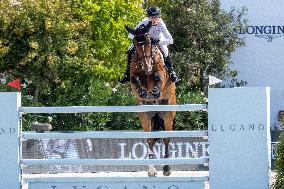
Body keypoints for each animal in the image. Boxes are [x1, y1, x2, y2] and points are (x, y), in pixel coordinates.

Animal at [125, 22, 176, 177]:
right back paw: (152, 170)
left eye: (149, 42)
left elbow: (158, 77)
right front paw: (143, 92)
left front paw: (154, 92)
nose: (147, 68)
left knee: (166, 138)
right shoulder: (134, 77)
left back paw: (166, 168)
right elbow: (135, 79)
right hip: (146, 117)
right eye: (136, 43)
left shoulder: (160, 74)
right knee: (150, 140)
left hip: (168, 115)